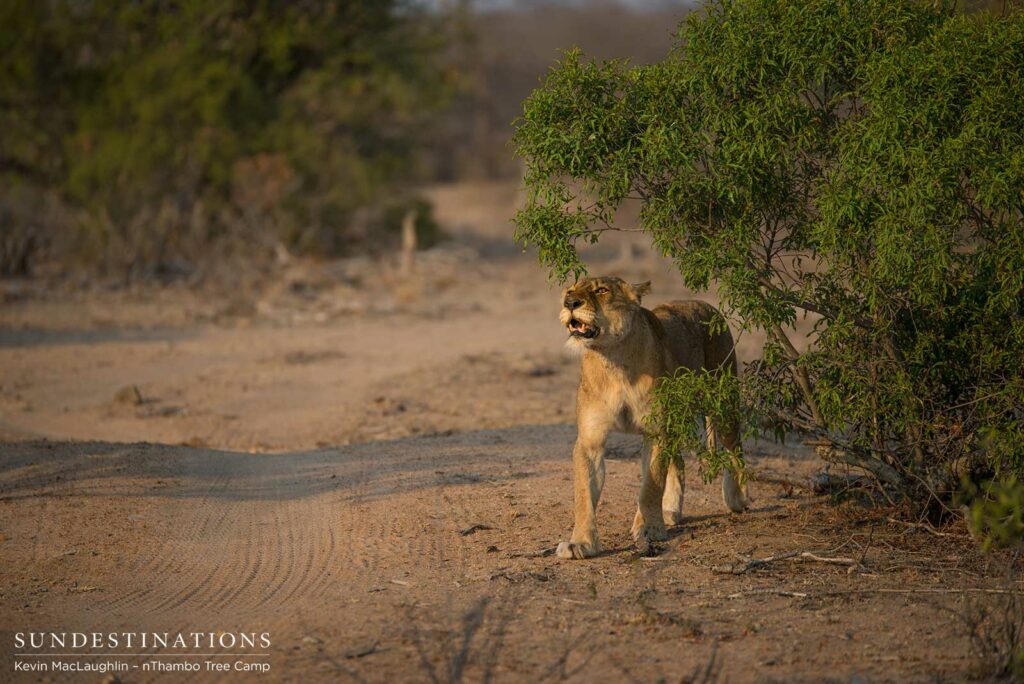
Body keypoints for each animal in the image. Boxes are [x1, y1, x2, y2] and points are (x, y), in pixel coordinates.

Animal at [556, 275, 748, 560]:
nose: (570, 302)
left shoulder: (657, 432)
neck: (614, 359)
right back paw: (669, 510)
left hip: (723, 400)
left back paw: (738, 498)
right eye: (570, 290)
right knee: (679, 463)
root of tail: (705, 304)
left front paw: (649, 529)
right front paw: (581, 543)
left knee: (735, 448)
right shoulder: (590, 440)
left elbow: (651, 486)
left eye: (601, 290)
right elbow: (584, 496)